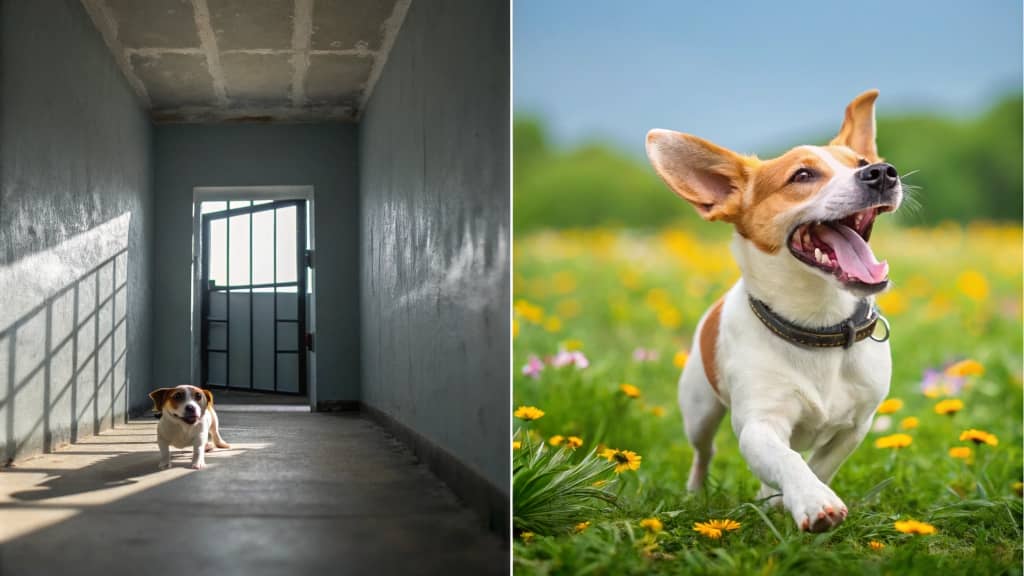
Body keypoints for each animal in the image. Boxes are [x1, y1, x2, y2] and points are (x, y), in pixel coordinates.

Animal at [651, 90, 901, 532]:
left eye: (861, 162)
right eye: (802, 176)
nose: (881, 173)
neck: (819, 324)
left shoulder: (857, 426)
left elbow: (818, 465)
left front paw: (792, 497)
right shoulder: (759, 426)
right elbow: (789, 459)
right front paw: (815, 501)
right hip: (699, 410)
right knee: (703, 453)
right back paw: (695, 494)